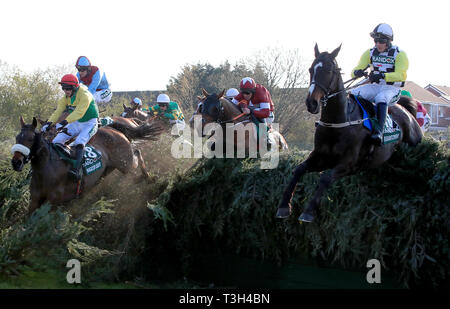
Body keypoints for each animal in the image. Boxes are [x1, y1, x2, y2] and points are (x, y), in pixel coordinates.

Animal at [11, 115, 163, 214]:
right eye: (17, 138)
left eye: (31, 139)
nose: (16, 162)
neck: (47, 170)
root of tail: (113, 128)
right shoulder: (34, 202)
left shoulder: (53, 204)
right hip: (108, 169)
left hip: (125, 163)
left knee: (137, 153)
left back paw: (148, 177)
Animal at [276, 44, 424, 221]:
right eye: (311, 69)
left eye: (329, 70)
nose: (311, 103)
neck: (338, 123)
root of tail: (408, 113)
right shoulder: (321, 157)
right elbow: (298, 169)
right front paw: (284, 206)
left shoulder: (349, 164)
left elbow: (325, 178)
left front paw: (308, 211)